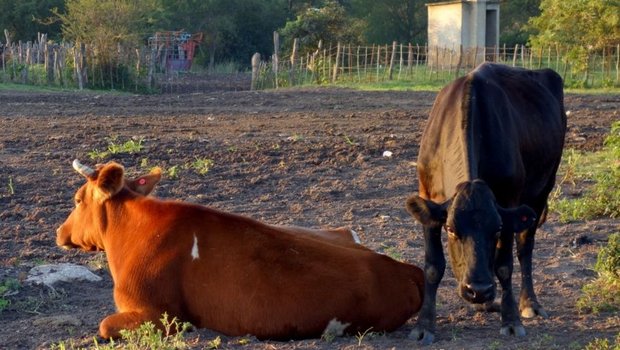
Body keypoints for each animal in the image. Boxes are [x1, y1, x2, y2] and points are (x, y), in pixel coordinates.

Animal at [406, 61, 568, 344]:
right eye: (451, 229)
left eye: (497, 229)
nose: (478, 289)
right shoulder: (427, 196)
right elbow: (433, 266)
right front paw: (424, 326)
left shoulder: (510, 202)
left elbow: (504, 265)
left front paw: (511, 319)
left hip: (542, 190)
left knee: (525, 247)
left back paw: (528, 303)